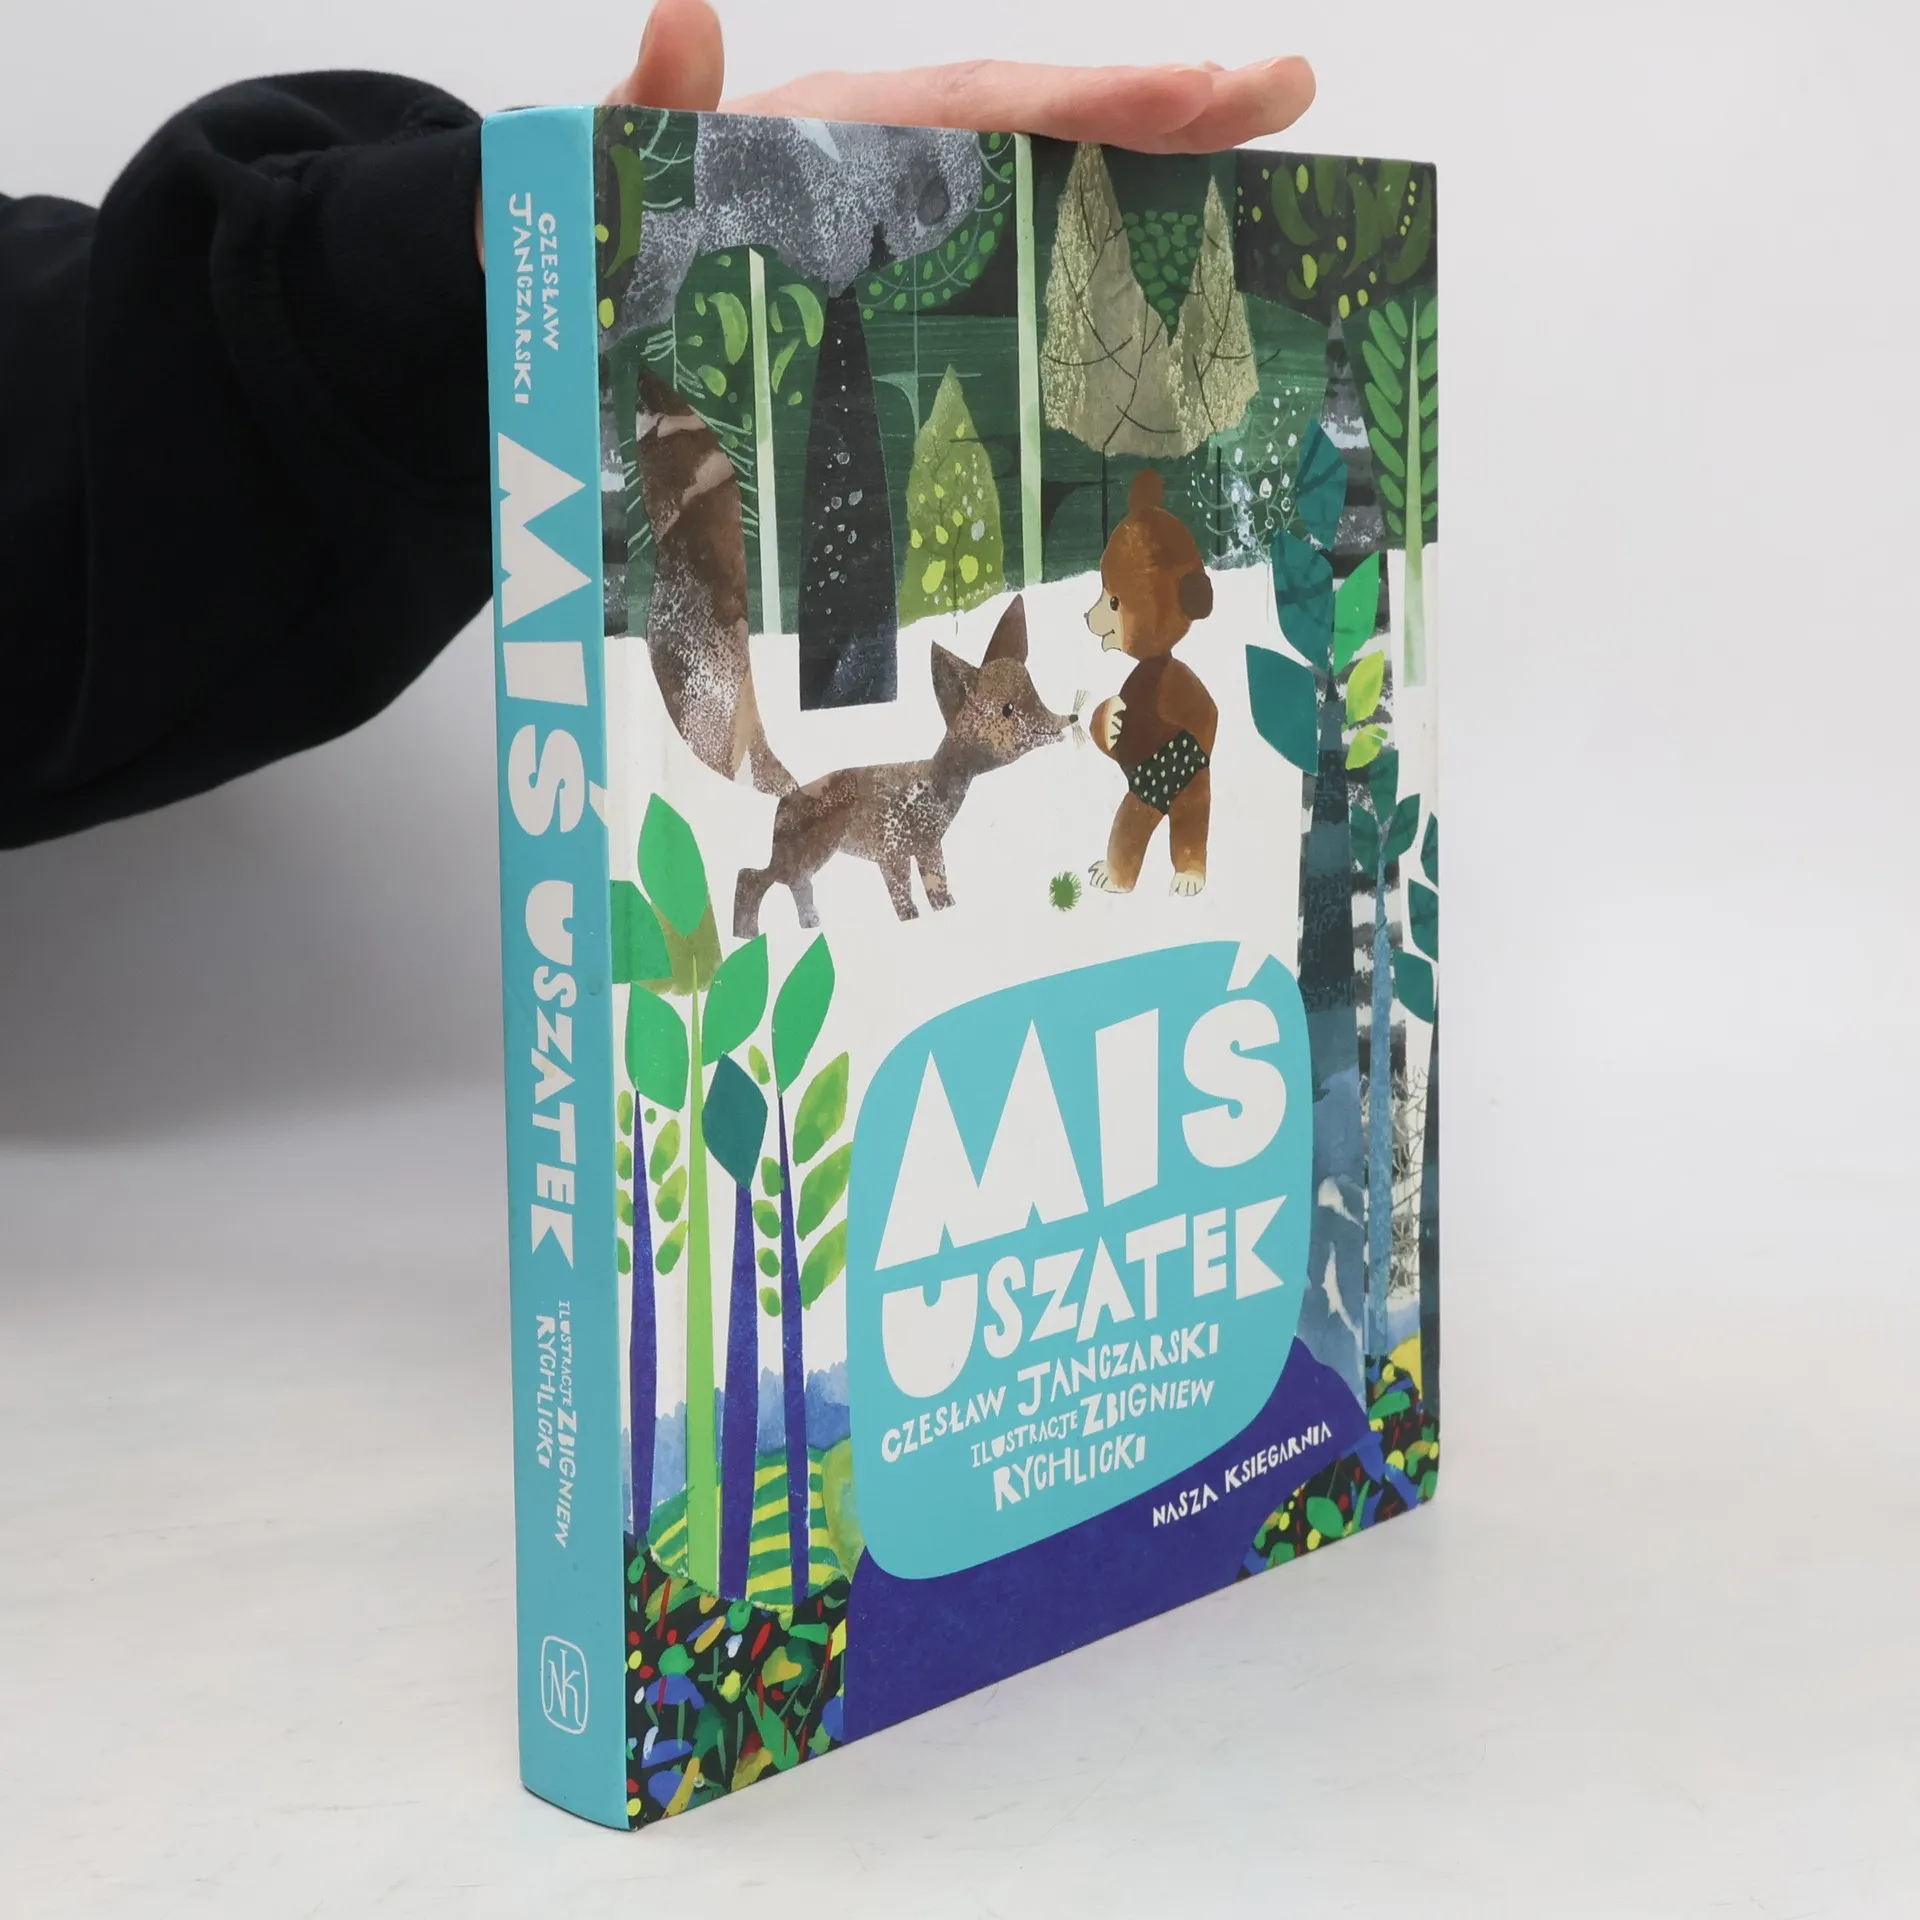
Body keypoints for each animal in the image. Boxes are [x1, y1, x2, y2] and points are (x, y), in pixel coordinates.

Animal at [734, 595, 1071, 935]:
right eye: (1007, 709)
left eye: (1036, 697)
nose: (1066, 719)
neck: (933, 789)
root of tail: (783, 801)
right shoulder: (896, 849)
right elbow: (912, 899)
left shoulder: (916, 848)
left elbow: (932, 895)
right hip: (806, 851)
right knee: (752, 877)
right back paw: (748, 933)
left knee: (790, 883)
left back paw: (809, 924)